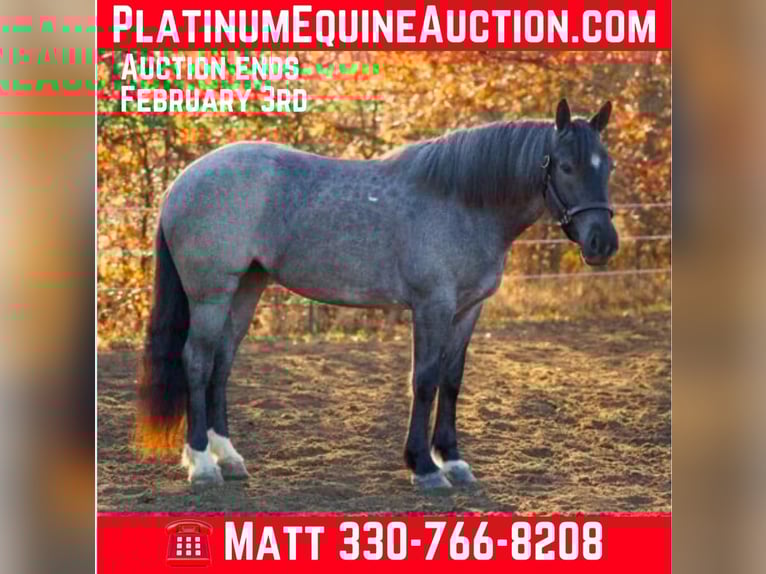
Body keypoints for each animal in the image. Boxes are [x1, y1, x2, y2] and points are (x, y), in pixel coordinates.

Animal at [135, 98, 618, 489]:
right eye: (566, 166)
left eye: (607, 166)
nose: (603, 243)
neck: (463, 202)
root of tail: (180, 183)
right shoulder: (431, 306)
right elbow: (424, 380)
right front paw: (424, 467)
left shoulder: (468, 310)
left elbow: (452, 380)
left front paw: (454, 462)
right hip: (211, 295)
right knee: (197, 362)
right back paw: (202, 465)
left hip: (245, 289)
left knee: (221, 363)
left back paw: (229, 457)